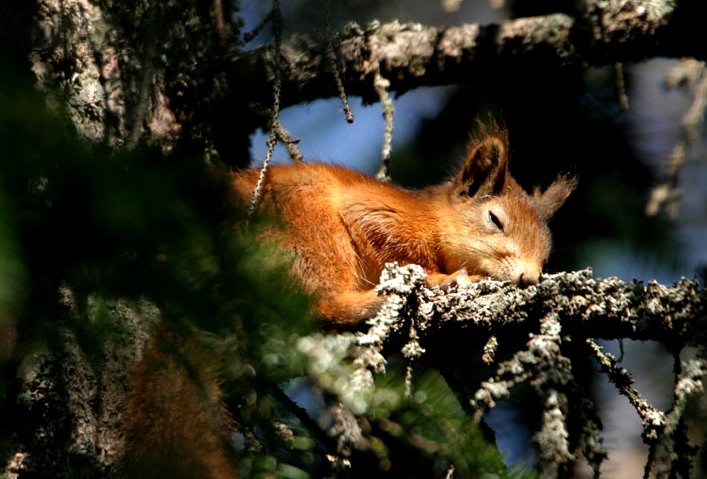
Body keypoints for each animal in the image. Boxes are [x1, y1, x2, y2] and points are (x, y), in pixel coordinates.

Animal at [232, 125, 576, 328]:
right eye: (495, 219)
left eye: (547, 252)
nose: (529, 277)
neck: (434, 218)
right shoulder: (376, 214)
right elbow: (397, 249)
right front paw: (444, 277)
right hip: (312, 224)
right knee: (324, 304)